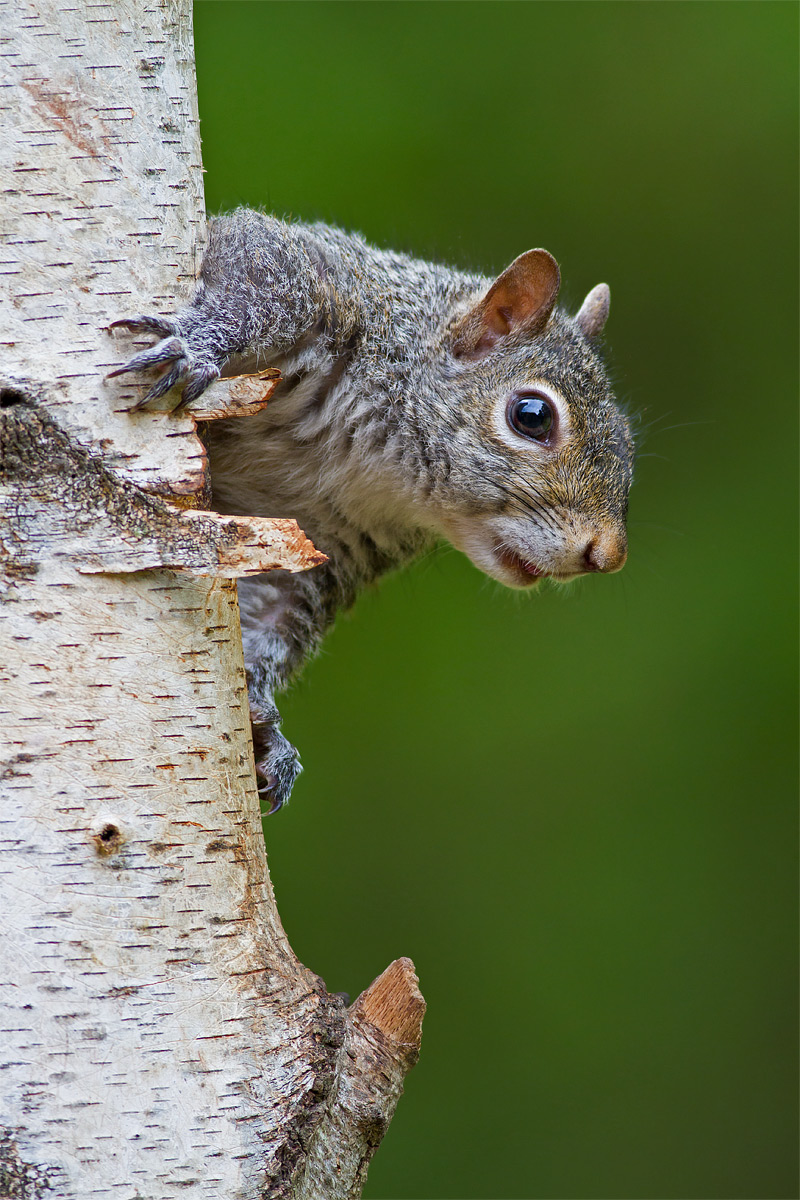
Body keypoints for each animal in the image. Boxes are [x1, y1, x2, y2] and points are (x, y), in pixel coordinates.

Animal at [110, 209, 633, 813]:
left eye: (628, 441)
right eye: (532, 416)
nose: (608, 554)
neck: (374, 461)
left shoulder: (325, 541)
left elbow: (273, 615)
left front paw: (266, 723)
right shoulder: (324, 286)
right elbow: (255, 274)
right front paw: (199, 345)